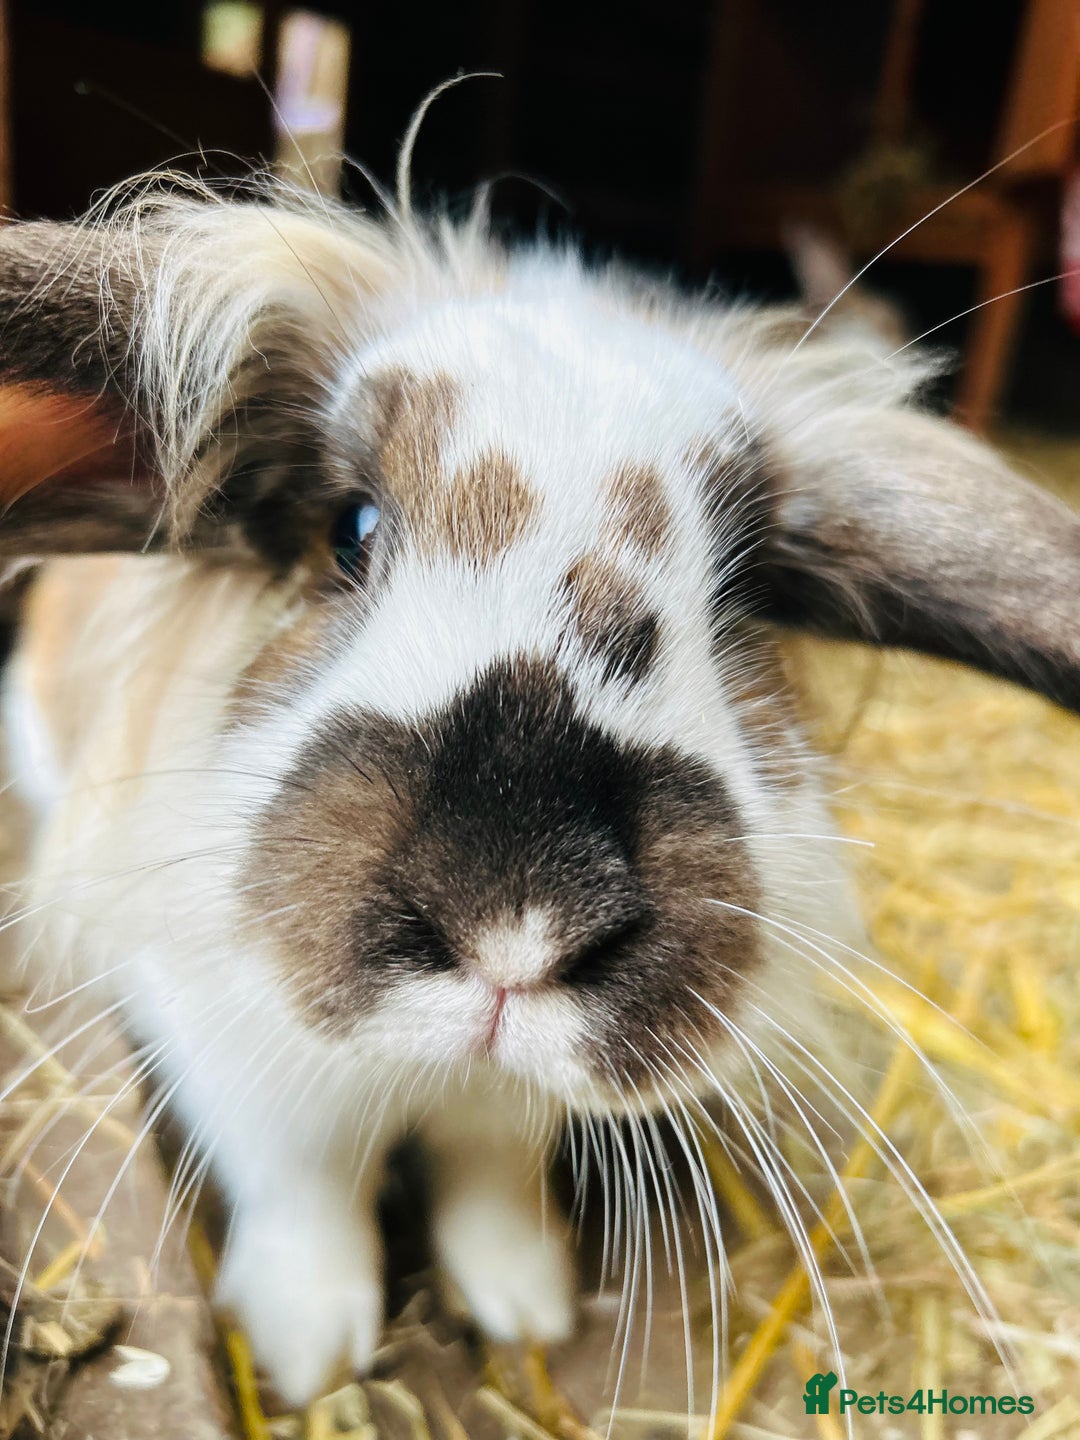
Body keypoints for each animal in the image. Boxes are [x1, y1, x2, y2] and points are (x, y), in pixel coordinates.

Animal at [0, 170, 1077, 1408]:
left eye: (745, 597)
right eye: (349, 530)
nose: (518, 923)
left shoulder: (507, 1118)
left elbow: (493, 1181)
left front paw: (526, 1307)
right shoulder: (232, 1054)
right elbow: (305, 1194)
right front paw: (309, 1350)